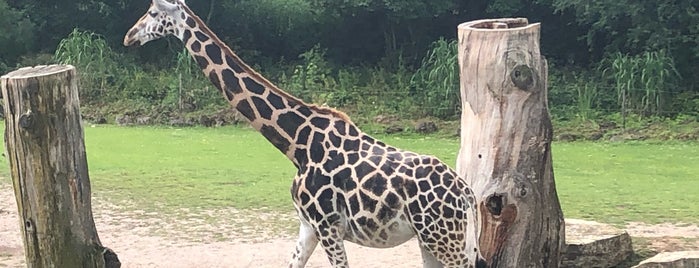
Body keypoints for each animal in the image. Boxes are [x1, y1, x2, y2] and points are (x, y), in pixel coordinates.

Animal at [124, 1, 486, 266]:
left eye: (153, 12)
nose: (129, 36)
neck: (296, 144)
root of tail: (467, 194)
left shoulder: (328, 227)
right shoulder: (308, 228)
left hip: (445, 238)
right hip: (432, 240)